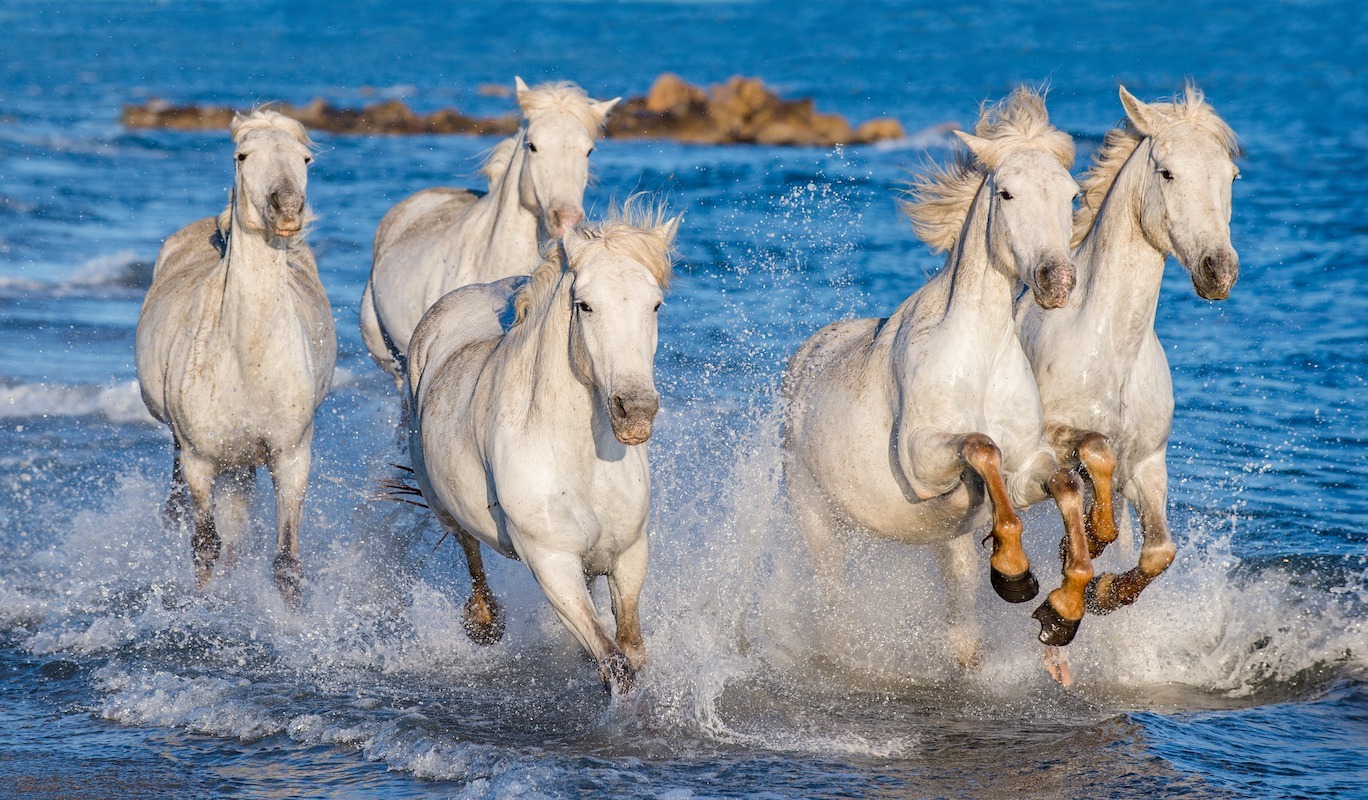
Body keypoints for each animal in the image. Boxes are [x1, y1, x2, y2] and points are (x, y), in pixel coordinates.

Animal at [134, 109, 336, 601]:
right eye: (242, 155)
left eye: (305, 158)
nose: (288, 209)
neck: (248, 360)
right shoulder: (200, 461)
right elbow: (205, 544)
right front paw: (205, 607)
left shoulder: (291, 458)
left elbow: (285, 561)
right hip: (191, 452)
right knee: (184, 511)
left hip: (242, 462)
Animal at [404, 201, 684, 691]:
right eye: (585, 305)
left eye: (655, 304)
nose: (635, 411)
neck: (579, 461)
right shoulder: (552, 563)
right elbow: (615, 663)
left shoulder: (629, 554)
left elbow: (632, 649)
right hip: (442, 503)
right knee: (466, 544)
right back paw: (484, 622)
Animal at [787, 88, 1094, 667]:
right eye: (1007, 193)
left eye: (1071, 194)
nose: (1057, 281)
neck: (980, 357)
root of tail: (803, 358)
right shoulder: (921, 462)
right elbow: (980, 446)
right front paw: (1015, 573)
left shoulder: (1025, 467)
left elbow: (1064, 483)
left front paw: (1061, 611)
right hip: (817, 520)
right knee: (830, 607)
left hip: (944, 547)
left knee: (960, 621)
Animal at [1017, 84, 1242, 615]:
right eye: (1168, 172)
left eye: (1231, 175)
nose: (1219, 270)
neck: (1110, 351)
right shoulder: (1053, 438)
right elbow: (1096, 451)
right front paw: (1079, 555)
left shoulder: (1147, 465)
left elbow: (1159, 551)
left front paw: (1103, 591)